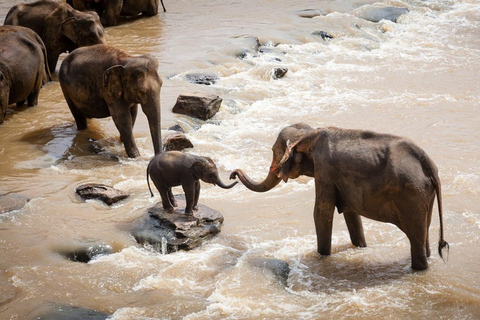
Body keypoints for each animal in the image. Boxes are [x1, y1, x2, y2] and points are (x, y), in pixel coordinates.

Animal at [231, 123, 448, 270]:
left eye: (274, 152)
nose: (233, 174)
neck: (310, 133)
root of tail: (429, 166)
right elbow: (351, 214)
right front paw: (361, 247)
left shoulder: (324, 171)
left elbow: (321, 213)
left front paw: (322, 257)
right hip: (424, 196)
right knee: (424, 232)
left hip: (412, 195)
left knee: (416, 236)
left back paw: (418, 269)